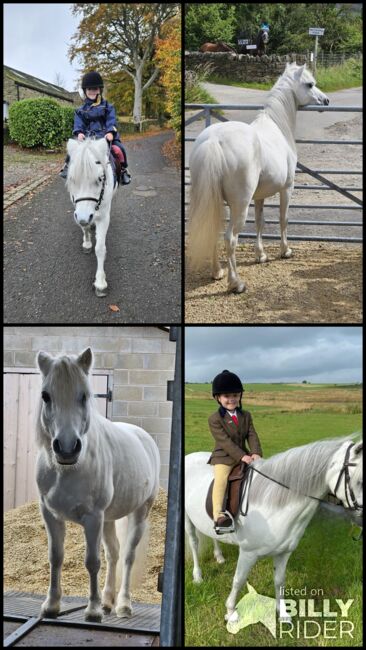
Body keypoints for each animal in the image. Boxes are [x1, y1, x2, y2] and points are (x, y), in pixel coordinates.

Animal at [35, 346, 160, 620]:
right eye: (45, 396)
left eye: (85, 395)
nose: (67, 449)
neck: (67, 470)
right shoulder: (50, 515)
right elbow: (55, 557)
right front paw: (51, 605)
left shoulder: (92, 518)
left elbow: (92, 562)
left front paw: (91, 610)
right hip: (109, 518)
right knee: (113, 553)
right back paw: (107, 601)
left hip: (139, 512)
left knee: (126, 556)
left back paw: (122, 604)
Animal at [66, 140, 117, 298]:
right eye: (72, 179)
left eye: (100, 179)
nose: (84, 217)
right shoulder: (78, 211)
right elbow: (84, 227)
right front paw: (87, 242)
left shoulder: (104, 217)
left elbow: (100, 249)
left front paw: (100, 282)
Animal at [186, 436, 364, 624]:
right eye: (359, 481)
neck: (274, 504)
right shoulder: (248, 552)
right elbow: (239, 580)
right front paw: (231, 612)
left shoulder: (284, 552)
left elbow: (279, 580)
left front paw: (283, 613)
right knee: (194, 543)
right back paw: (198, 576)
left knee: (213, 535)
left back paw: (219, 557)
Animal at [187, 62, 330, 292]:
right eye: (310, 84)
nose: (326, 100)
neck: (277, 127)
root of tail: (214, 140)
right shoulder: (287, 188)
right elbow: (283, 218)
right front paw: (285, 251)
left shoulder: (259, 196)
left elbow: (260, 222)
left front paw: (260, 255)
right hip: (240, 205)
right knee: (230, 238)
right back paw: (236, 283)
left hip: (215, 201)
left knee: (214, 230)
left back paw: (217, 272)